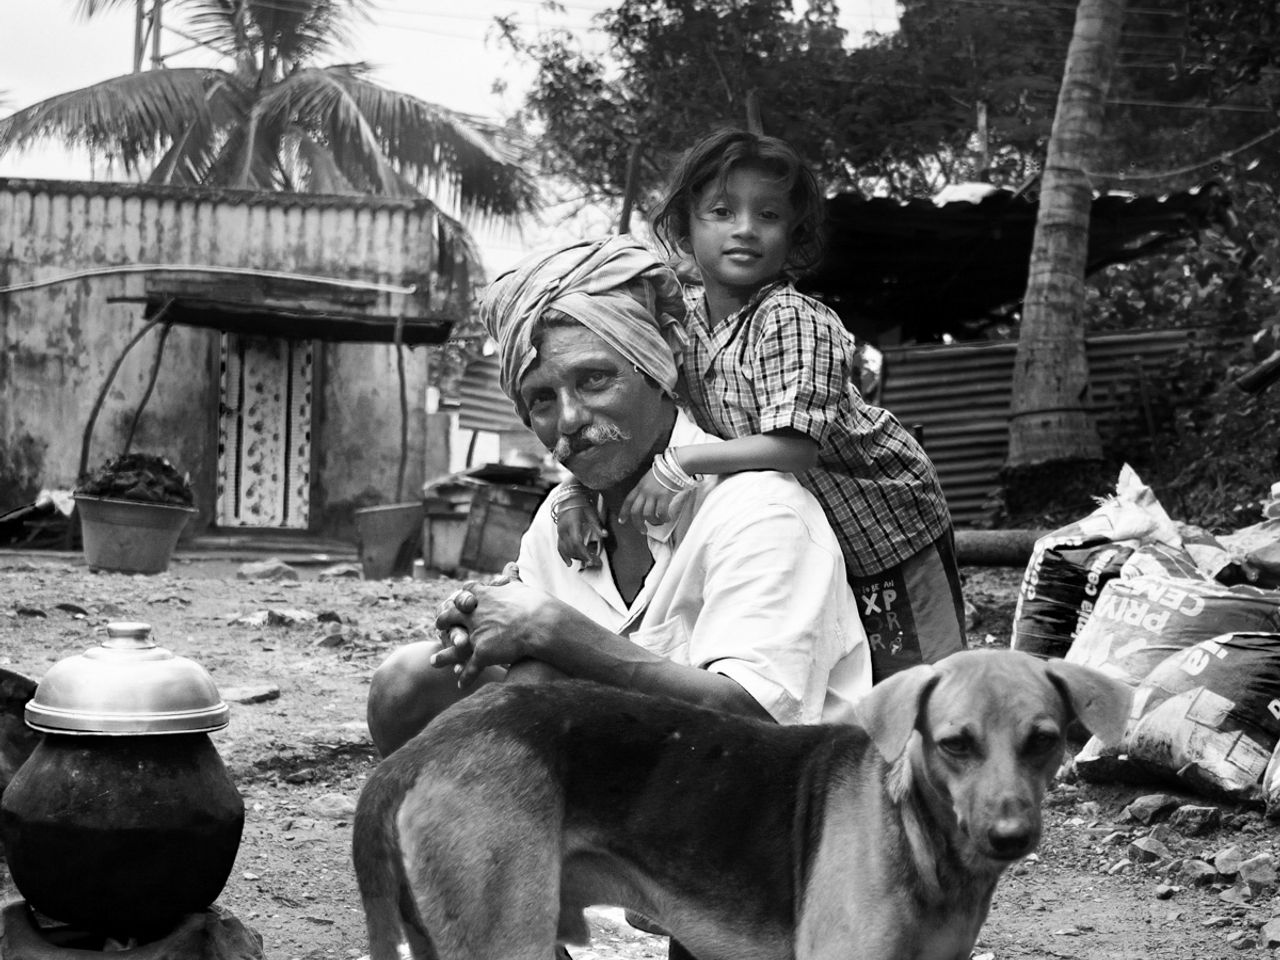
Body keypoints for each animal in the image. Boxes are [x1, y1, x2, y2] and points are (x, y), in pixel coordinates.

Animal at [353, 650, 1131, 957]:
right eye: (955, 745)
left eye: (1043, 742)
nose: (1009, 836)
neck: (916, 832)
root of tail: (418, 751)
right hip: (507, 939)